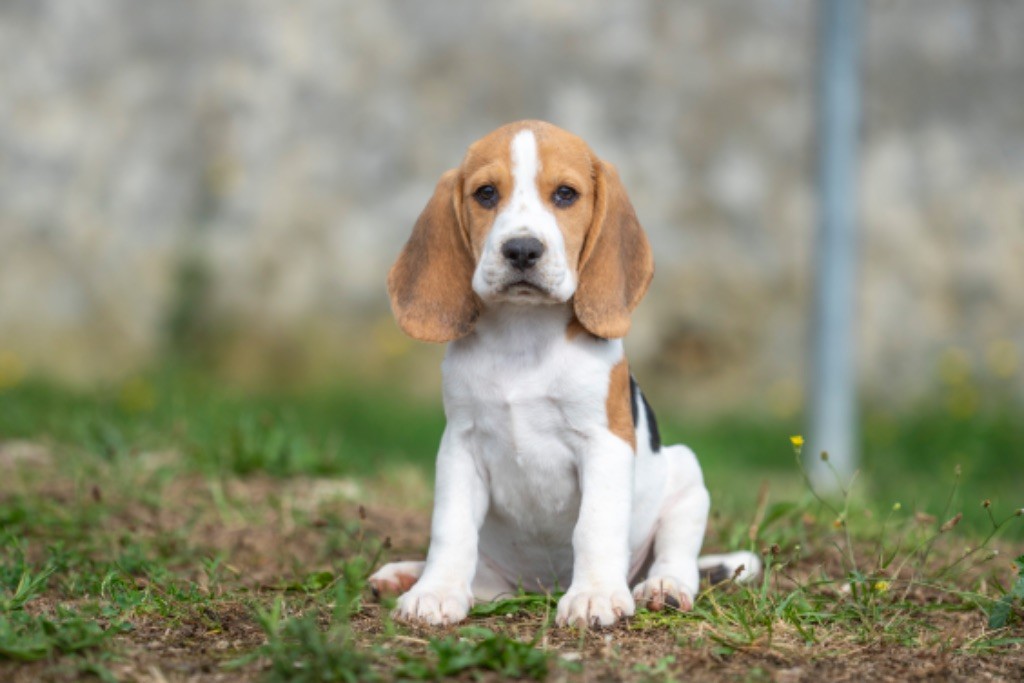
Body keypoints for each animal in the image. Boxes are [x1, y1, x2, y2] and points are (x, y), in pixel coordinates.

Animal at [372, 120, 757, 626]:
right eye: (486, 193)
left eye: (566, 195)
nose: (521, 249)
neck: (523, 334)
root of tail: (537, 587)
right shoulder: (460, 445)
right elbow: (450, 528)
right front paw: (435, 592)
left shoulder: (605, 443)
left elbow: (594, 525)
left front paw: (594, 595)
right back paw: (405, 575)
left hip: (686, 476)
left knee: (676, 557)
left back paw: (663, 588)